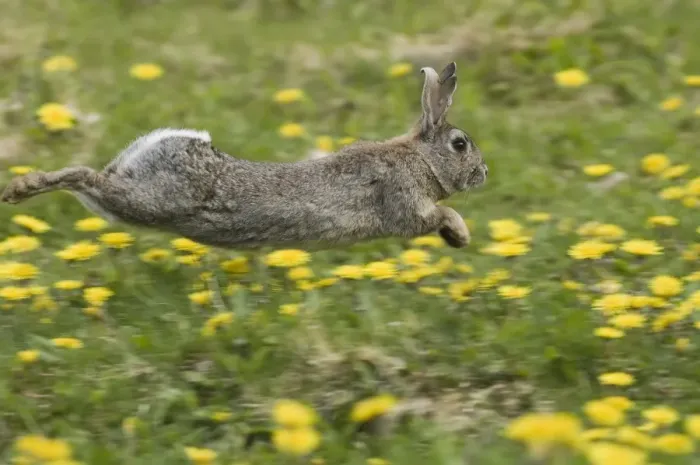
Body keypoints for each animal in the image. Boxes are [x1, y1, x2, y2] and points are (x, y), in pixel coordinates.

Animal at [1, 62, 487, 250]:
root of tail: (165, 144)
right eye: (459, 144)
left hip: (125, 203)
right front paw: (461, 235)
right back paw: (20, 188)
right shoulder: (404, 204)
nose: (484, 172)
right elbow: (439, 215)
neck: (420, 159)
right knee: (84, 175)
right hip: (152, 202)